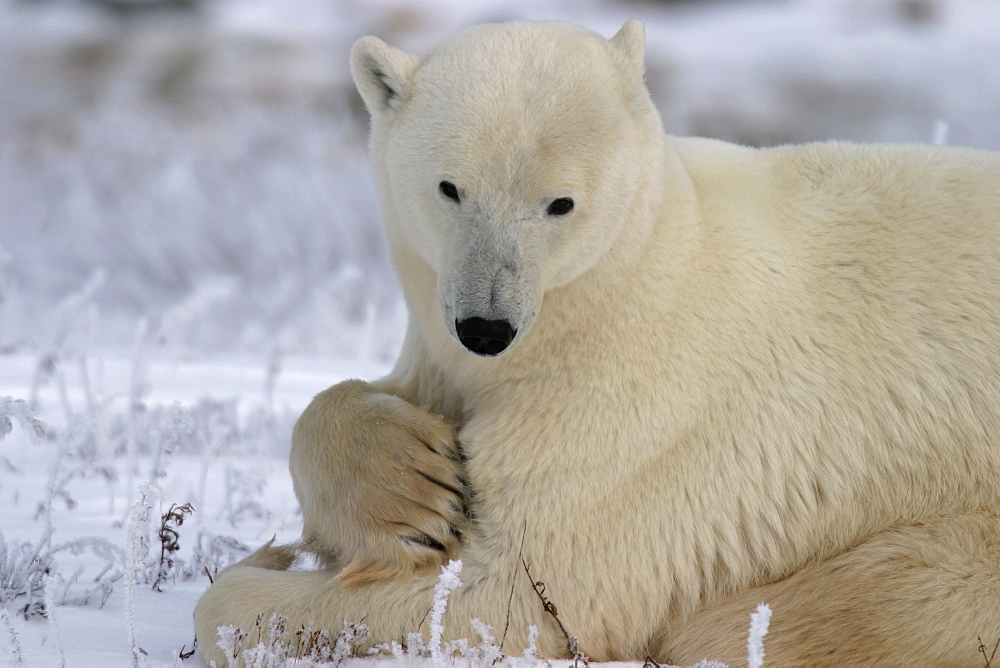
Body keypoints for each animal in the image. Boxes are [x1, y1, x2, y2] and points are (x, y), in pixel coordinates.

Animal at [195, 18, 1000, 664]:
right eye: (450, 187)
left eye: (561, 204)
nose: (485, 327)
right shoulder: (445, 349)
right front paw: (414, 487)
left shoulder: (638, 427)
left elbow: (513, 595)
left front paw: (261, 575)